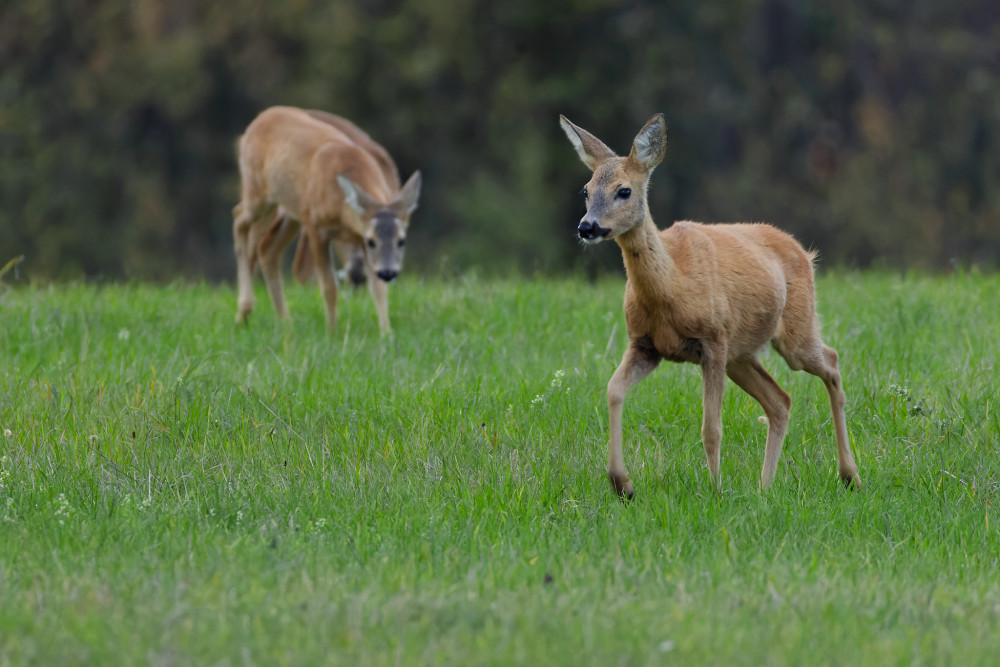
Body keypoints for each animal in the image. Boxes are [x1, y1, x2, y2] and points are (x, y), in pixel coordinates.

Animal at [232, 107, 420, 336]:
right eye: (372, 240)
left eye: (402, 240)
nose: (388, 272)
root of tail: (259, 120)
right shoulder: (315, 226)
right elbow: (329, 287)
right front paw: (332, 332)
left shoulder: (357, 235)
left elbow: (378, 289)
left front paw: (386, 334)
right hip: (259, 194)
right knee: (239, 217)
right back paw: (245, 309)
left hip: (291, 211)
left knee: (267, 248)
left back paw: (285, 322)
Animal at [560, 115, 864, 498]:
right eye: (585, 190)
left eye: (624, 190)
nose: (587, 227)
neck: (673, 287)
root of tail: (803, 252)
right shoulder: (644, 344)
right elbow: (613, 390)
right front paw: (622, 484)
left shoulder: (713, 341)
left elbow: (711, 427)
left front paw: (715, 489)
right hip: (742, 354)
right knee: (780, 400)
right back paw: (765, 487)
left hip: (793, 332)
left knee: (832, 362)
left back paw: (849, 475)